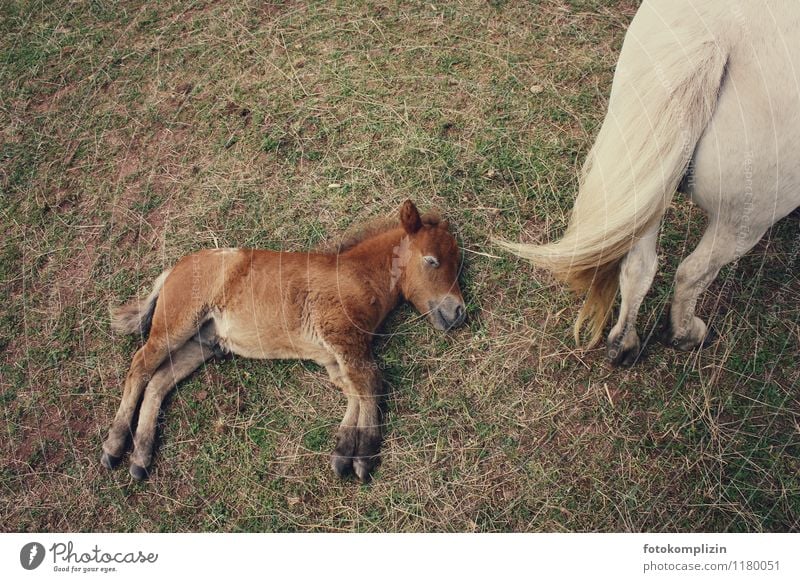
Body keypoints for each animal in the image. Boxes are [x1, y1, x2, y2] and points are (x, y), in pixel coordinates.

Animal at [102, 201, 466, 484]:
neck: (356, 276)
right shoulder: (342, 338)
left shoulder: (334, 354)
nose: (458, 312)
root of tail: (173, 270)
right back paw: (114, 445)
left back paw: (140, 459)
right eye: (432, 261)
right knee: (140, 366)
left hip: (202, 343)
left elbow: (355, 389)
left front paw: (344, 450)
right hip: (177, 323)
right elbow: (373, 382)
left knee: (158, 382)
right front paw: (363, 455)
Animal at [500, 0, 800, 364]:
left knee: (638, 265)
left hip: (645, 184)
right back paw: (686, 335)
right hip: (746, 216)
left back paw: (623, 344)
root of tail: (718, 33)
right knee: (693, 272)